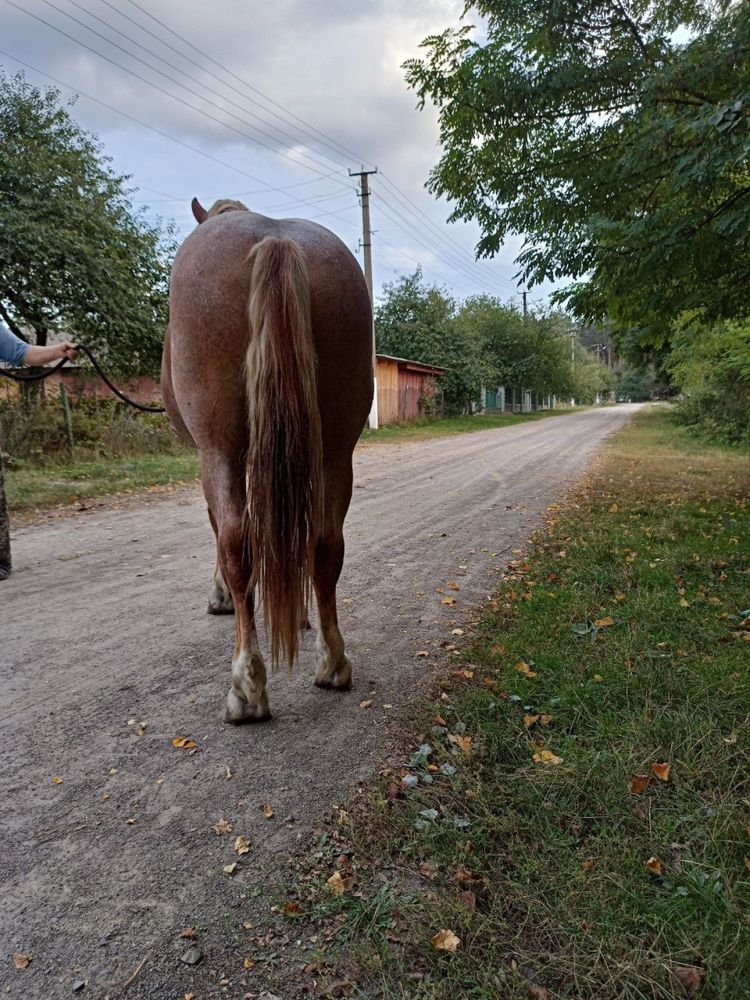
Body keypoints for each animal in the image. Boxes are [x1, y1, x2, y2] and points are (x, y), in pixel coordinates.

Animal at [164, 199, 376, 724]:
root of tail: (276, 239)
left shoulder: (211, 457)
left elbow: (222, 534)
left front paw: (222, 597)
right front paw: (296, 613)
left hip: (219, 450)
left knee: (237, 543)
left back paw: (247, 687)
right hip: (335, 449)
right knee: (324, 542)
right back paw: (332, 663)